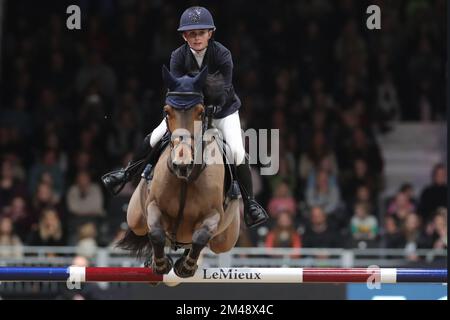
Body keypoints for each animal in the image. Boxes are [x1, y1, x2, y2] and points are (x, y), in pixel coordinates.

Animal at [118, 65, 241, 278]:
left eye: (200, 112)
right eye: (167, 112)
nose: (182, 165)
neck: (186, 179)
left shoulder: (214, 215)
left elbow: (201, 236)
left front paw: (185, 267)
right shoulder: (154, 205)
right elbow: (156, 232)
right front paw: (160, 264)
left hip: (225, 240)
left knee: (207, 243)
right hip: (135, 218)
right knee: (146, 229)